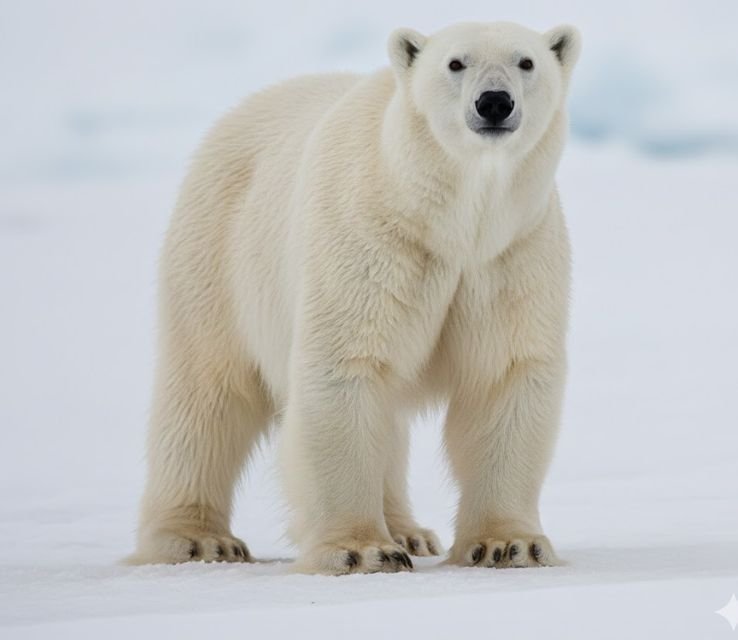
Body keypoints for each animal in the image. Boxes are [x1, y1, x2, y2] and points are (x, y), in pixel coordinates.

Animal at [129, 20, 581, 574]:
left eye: (526, 61)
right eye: (456, 63)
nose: (494, 102)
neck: (447, 221)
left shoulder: (510, 254)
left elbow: (505, 375)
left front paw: (510, 545)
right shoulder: (371, 240)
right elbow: (345, 369)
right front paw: (361, 549)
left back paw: (411, 532)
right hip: (217, 252)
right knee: (207, 392)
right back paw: (197, 540)